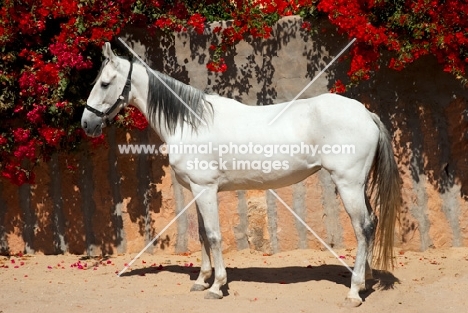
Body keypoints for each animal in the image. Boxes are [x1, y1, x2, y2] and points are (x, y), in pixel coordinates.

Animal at [82, 41, 400, 304]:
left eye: (105, 83)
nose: (87, 124)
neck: (190, 123)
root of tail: (366, 114)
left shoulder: (205, 188)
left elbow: (213, 235)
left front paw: (216, 287)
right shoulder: (197, 190)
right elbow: (202, 234)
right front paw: (201, 281)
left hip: (348, 184)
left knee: (362, 228)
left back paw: (354, 292)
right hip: (358, 185)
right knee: (371, 223)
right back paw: (367, 279)